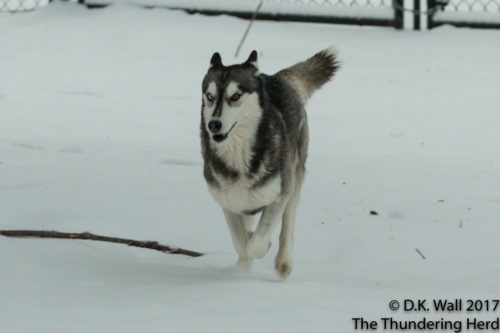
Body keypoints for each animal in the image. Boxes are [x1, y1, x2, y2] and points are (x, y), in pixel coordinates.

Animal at [200, 47, 340, 278]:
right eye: (210, 96)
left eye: (235, 96)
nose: (214, 124)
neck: (239, 156)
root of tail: (278, 77)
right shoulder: (229, 203)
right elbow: (240, 242)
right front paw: (242, 264)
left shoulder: (279, 195)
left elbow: (256, 243)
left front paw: (262, 246)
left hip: (294, 177)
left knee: (288, 224)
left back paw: (283, 262)